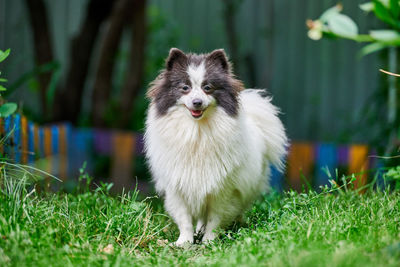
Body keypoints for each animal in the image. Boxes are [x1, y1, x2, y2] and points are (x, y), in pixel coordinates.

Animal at [144, 47, 288, 246]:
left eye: (208, 88)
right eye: (185, 88)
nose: (197, 102)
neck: (196, 131)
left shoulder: (223, 189)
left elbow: (215, 217)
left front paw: (209, 241)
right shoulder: (179, 186)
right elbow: (184, 218)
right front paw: (184, 242)